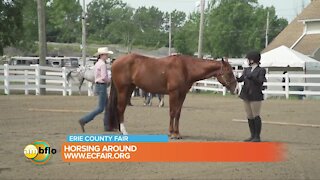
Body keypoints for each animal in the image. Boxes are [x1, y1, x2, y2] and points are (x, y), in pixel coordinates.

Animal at [107, 53, 238, 139]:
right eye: (229, 72)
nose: (236, 89)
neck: (186, 68)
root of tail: (115, 61)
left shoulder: (182, 94)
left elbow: (178, 113)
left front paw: (177, 133)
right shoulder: (173, 93)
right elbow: (172, 112)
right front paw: (171, 133)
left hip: (129, 89)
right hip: (123, 90)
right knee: (120, 108)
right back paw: (124, 131)